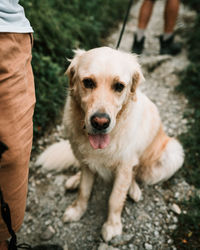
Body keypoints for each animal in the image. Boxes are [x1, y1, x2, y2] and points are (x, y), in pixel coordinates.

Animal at [36, 46, 184, 240]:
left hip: (173, 154)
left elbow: (115, 198)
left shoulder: (124, 167)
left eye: (119, 86)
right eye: (88, 82)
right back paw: (74, 180)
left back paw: (134, 190)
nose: (100, 122)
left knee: (136, 174)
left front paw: (112, 226)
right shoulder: (87, 162)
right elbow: (84, 190)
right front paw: (77, 210)